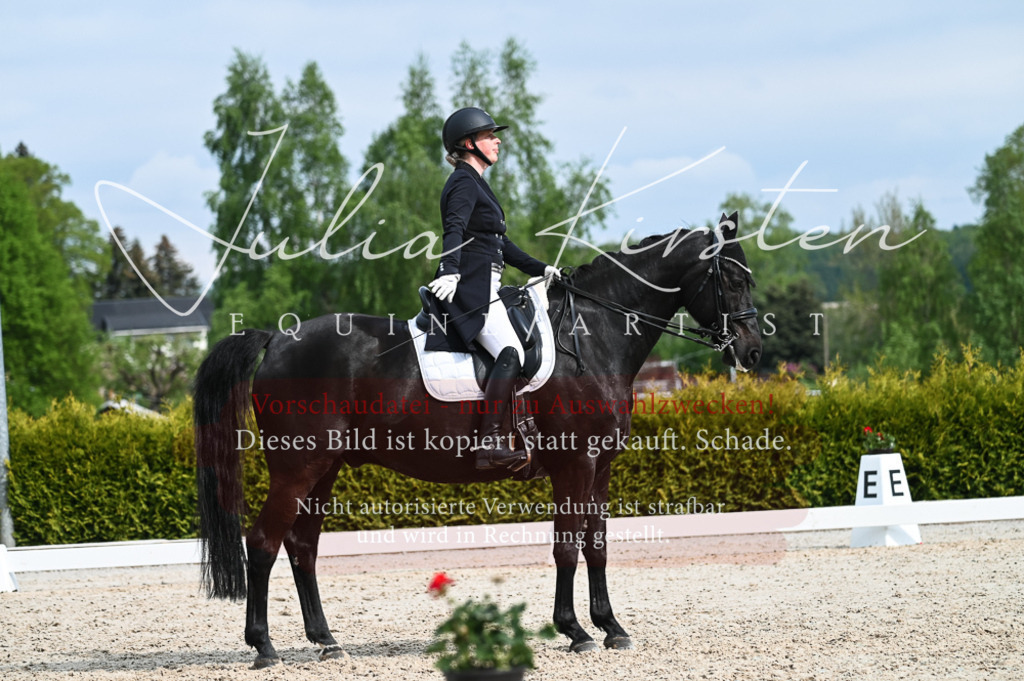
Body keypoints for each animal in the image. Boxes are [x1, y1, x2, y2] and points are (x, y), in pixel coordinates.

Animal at [193, 214, 761, 667]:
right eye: (732, 279)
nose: (752, 351)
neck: (591, 337)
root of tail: (275, 339)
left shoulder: (600, 468)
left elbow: (596, 546)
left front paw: (612, 628)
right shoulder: (574, 465)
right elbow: (566, 547)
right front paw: (575, 631)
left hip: (325, 469)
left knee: (302, 546)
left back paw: (327, 642)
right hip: (297, 468)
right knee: (263, 543)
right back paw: (264, 647)